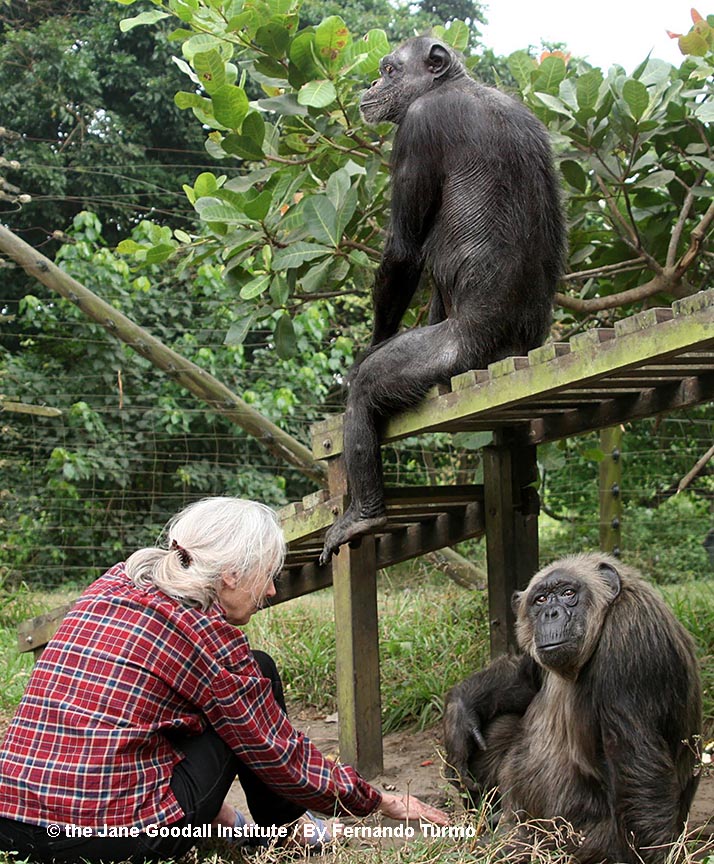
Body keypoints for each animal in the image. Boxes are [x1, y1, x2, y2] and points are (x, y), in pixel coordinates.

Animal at [319, 36, 566, 565]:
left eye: (390, 70)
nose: (372, 84)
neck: (452, 84)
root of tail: (517, 351)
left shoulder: (418, 128)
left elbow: (404, 251)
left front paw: (370, 346)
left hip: (455, 354)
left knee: (368, 390)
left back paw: (364, 515)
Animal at [443, 553, 702, 864]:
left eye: (568, 593)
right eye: (541, 599)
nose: (551, 613)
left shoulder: (630, 643)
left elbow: (638, 768)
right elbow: (526, 676)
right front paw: (459, 718)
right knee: (496, 729)